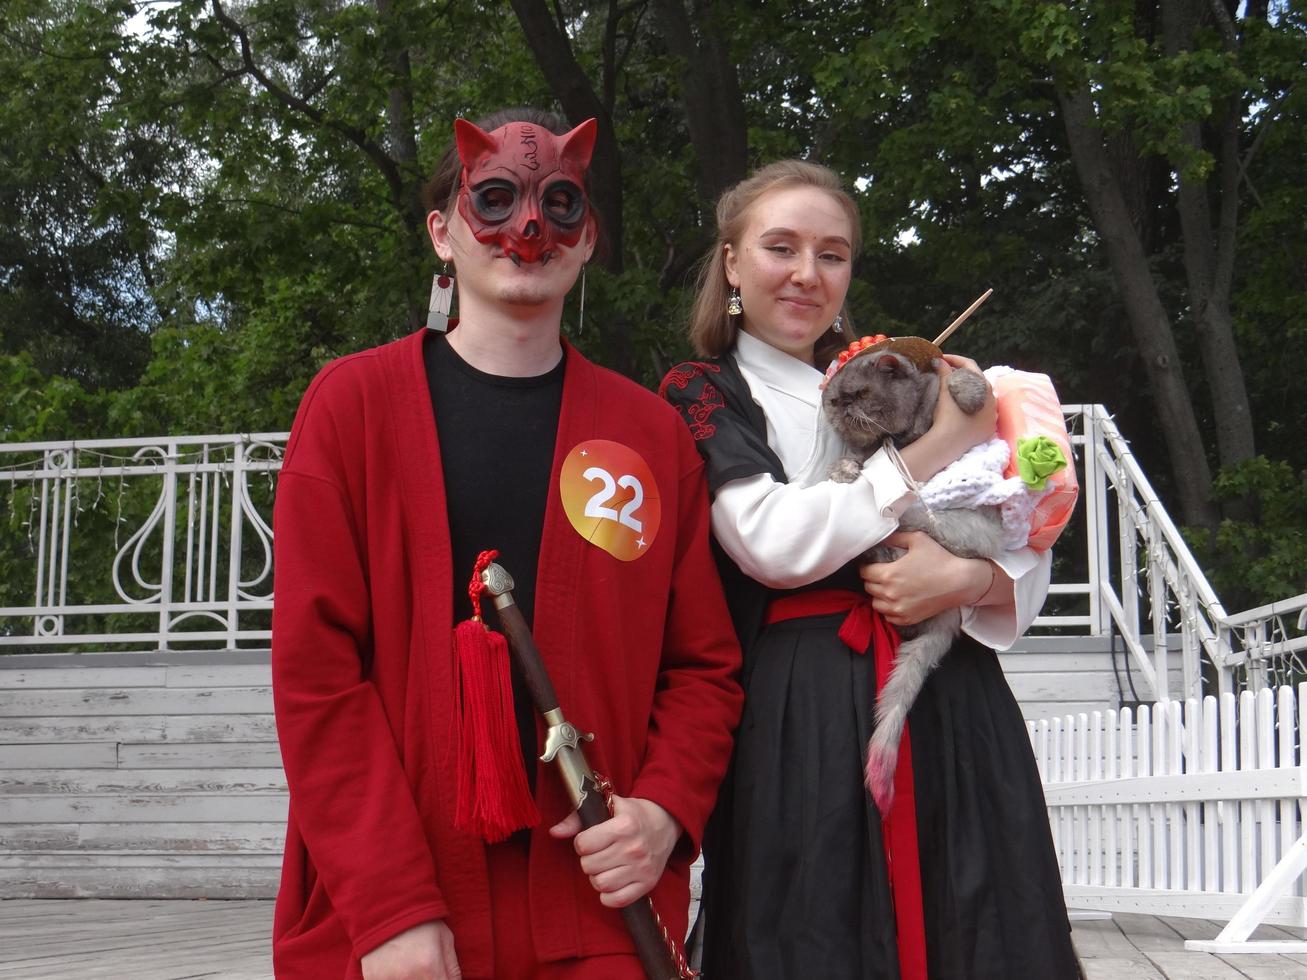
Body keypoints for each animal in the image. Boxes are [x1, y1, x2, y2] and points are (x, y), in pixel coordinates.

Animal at [826, 344, 998, 815]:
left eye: (859, 394)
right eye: (835, 399)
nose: (840, 409)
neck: (905, 434)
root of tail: (949, 620)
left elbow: (962, 379)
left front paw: (970, 393)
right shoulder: (869, 452)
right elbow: (855, 461)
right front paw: (843, 471)